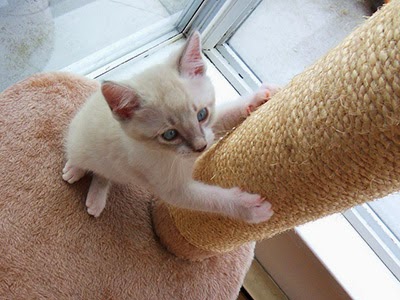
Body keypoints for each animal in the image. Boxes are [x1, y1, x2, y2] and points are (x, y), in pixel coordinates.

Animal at [63, 32, 276, 224]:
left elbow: (225, 115)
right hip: (83, 145)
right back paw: (74, 171)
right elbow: (211, 199)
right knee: (86, 162)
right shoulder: (171, 188)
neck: (171, 155)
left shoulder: (209, 130)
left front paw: (258, 98)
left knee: (105, 174)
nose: (201, 147)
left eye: (202, 114)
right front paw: (249, 208)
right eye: (170, 134)